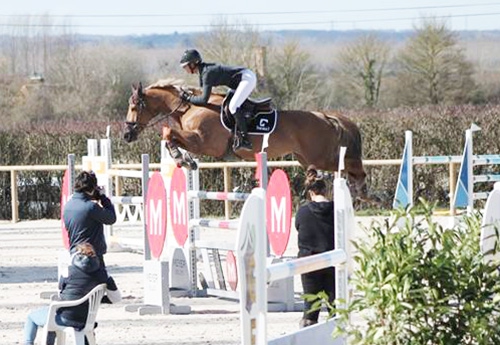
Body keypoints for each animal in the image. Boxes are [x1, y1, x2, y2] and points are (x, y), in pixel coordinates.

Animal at [125, 78, 368, 196]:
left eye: (134, 106)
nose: (127, 134)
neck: (190, 107)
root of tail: (326, 116)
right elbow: (171, 137)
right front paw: (185, 159)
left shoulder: (205, 143)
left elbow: (169, 133)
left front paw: (181, 158)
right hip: (305, 158)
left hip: (319, 156)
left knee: (349, 166)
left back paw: (363, 191)